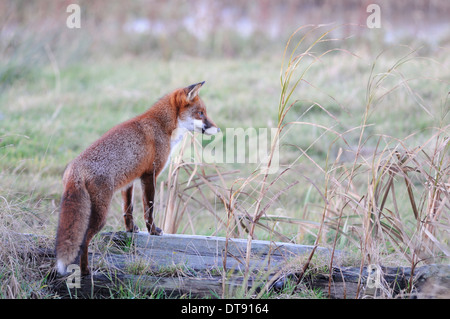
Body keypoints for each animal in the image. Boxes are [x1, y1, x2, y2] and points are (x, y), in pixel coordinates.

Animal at [55, 82, 221, 276]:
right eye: (201, 113)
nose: (218, 129)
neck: (161, 125)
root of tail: (74, 169)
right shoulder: (150, 174)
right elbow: (149, 208)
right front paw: (153, 231)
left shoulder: (130, 180)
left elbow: (128, 209)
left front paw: (131, 230)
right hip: (100, 216)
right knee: (83, 241)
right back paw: (86, 270)